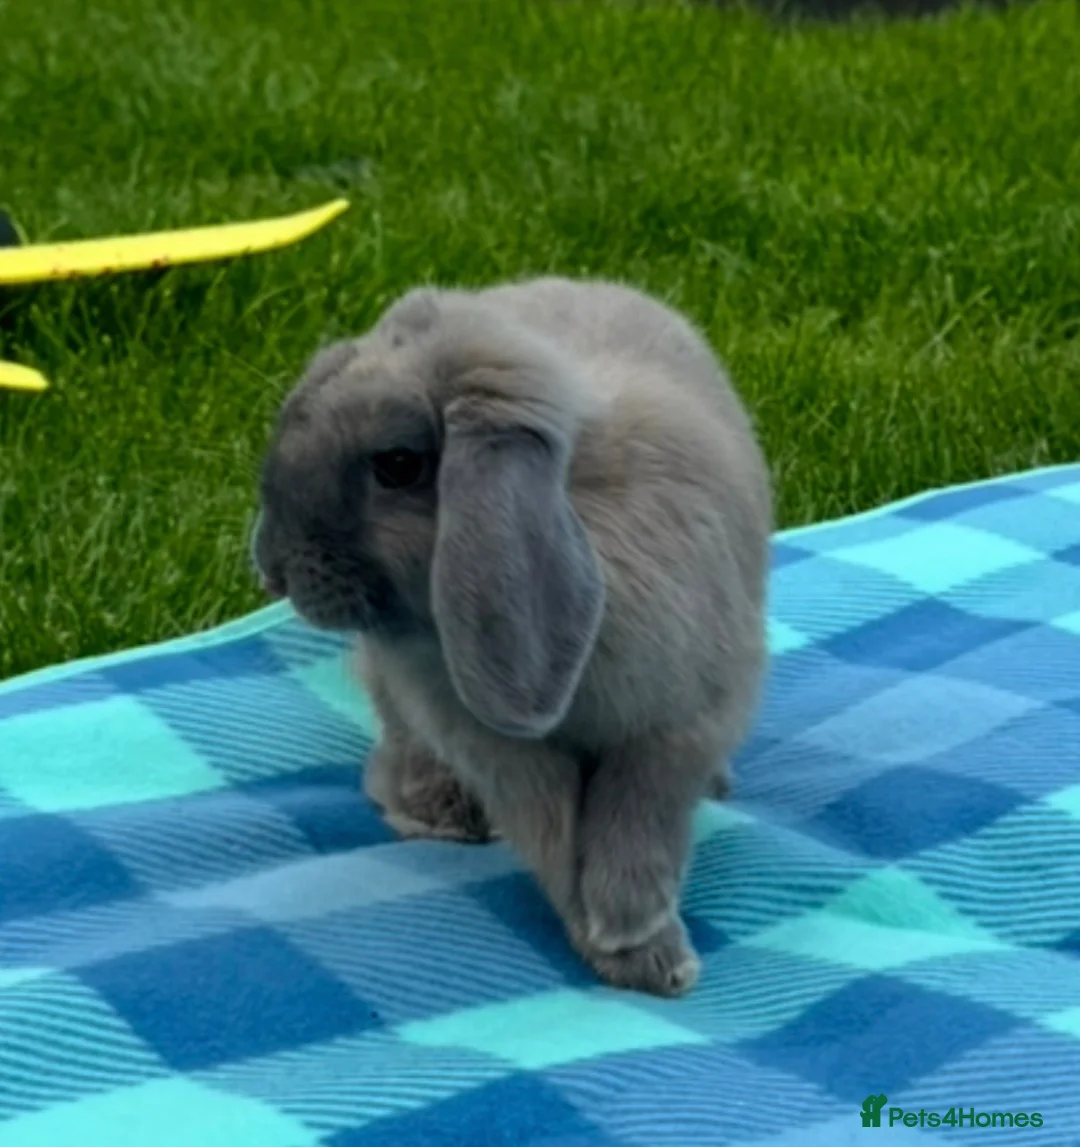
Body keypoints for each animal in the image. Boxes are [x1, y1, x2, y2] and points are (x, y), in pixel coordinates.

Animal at [251, 276, 772, 997]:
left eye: (398, 464)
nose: (272, 565)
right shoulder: (507, 757)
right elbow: (558, 840)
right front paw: (624, 951)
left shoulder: (673, 730)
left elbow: (635, 834)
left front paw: (645, 950)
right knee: (400, 743)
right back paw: (434, 810)